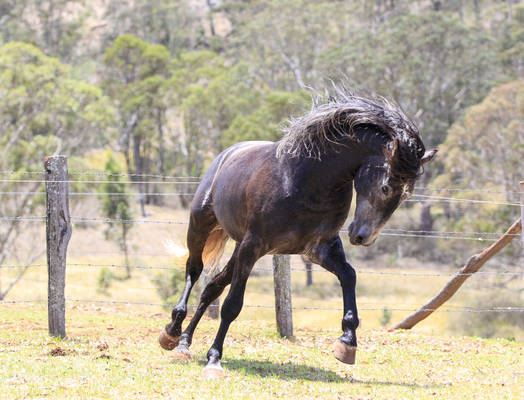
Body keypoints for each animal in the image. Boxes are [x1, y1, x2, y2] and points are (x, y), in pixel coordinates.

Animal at [158, 90, 436, 378]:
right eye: (385, 187)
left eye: (406, 195)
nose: (362, 237)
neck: (302, 181)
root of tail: (226, 154)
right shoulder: (254, 246)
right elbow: (233, 305)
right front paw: (214, 359)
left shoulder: (319, 248)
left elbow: (349, 276)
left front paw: (347, 343)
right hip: (202, 227)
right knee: (194, 270)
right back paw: (172, 332)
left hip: (239, 249)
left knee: (211, 288)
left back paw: (184, 343)